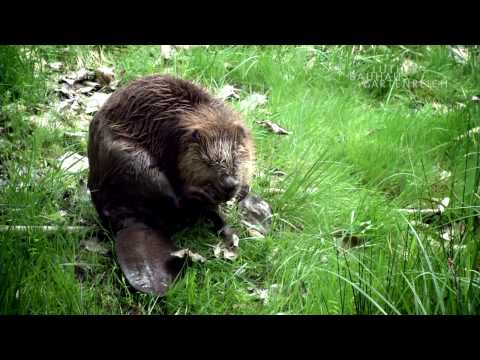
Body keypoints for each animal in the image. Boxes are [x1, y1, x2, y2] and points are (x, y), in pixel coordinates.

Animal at [88, 74, 256, 296]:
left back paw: (229, 235)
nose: (229, 184)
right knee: (172, 199)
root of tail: (133, 224)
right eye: (207, 161)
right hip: (130, 157)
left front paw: (241, 191)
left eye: (236, 157)